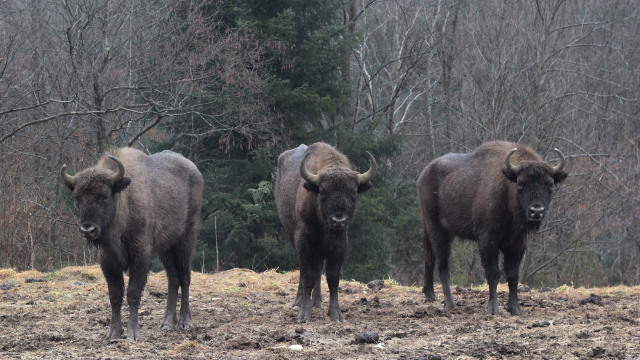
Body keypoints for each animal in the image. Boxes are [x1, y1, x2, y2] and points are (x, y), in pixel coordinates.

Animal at [61, 148, 202, 338]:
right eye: (77, 198)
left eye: (104, 196)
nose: (88, 230)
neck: (124, 201)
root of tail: (194, 169)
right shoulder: (108, 262)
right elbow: (115, 295)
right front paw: (113, 332)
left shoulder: (141, 257)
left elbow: (133, 293)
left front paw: (133, 333)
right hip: (166, 248)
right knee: (173, 279)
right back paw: (166, 323)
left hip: (186, 239)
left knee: (185, 277)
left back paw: (185, 322)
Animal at [274, 142, 376, 322]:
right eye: (323, 192)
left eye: (353, 193)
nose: (338, 221)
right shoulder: (304, 242)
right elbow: (307, 275)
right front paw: (304, 314)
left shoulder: (339, 244)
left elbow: (332, 277)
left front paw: (336, 314)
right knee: (305, 271)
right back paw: (299, 301)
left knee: (318, 269)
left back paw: (317, 301)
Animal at [418, 141, 568, 316]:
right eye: (521, 184)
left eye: (549, 184)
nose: (536, 211)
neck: (507, 189)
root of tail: (424, 173)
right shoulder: (487, 241)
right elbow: (494, 273)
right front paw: (493, 309)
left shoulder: (517, 243)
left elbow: (513, 275)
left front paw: (515, 309)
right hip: (437, 228)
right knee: (442, 263)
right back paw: (450, 304)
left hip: (436, 229)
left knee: (429, 255)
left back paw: (430, 294)